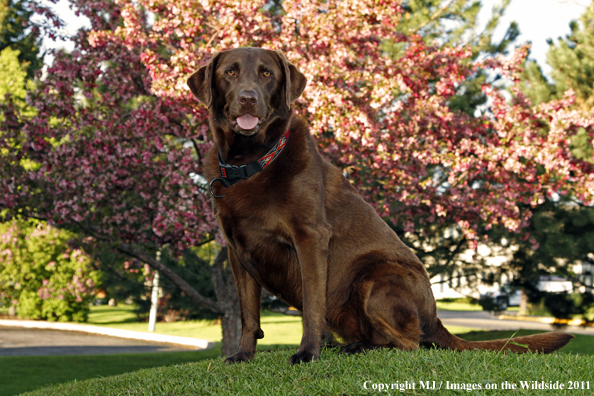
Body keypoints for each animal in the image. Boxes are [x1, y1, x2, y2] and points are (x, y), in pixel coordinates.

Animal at [187, 48, 572, 364]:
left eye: (267, 73)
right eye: (230, 73)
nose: (248, 99)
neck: (253, 162)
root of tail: (435, 316)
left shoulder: (310, 238)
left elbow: (311, 305)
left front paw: (308, 353)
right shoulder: (237, 251)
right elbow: (248, 314)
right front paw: (242, 355)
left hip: (375, 277)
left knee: (411, 344)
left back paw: (363, 349)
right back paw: (355, 346)